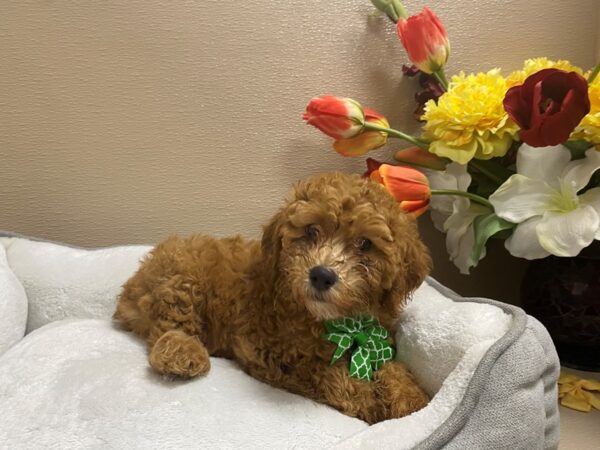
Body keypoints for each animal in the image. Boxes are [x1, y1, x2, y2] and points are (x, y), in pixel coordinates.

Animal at [113, 171, 432, 424]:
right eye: (311, 231)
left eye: (365, 244)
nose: (321, 275)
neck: (339, 322)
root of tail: (133, 283)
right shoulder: (267, 351)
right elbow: (325, 371)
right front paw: (368, 399)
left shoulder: (378, 337)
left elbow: (392, 367)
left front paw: (412, 400)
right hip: (183, 274)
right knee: (167, 327)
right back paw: (183, 353)